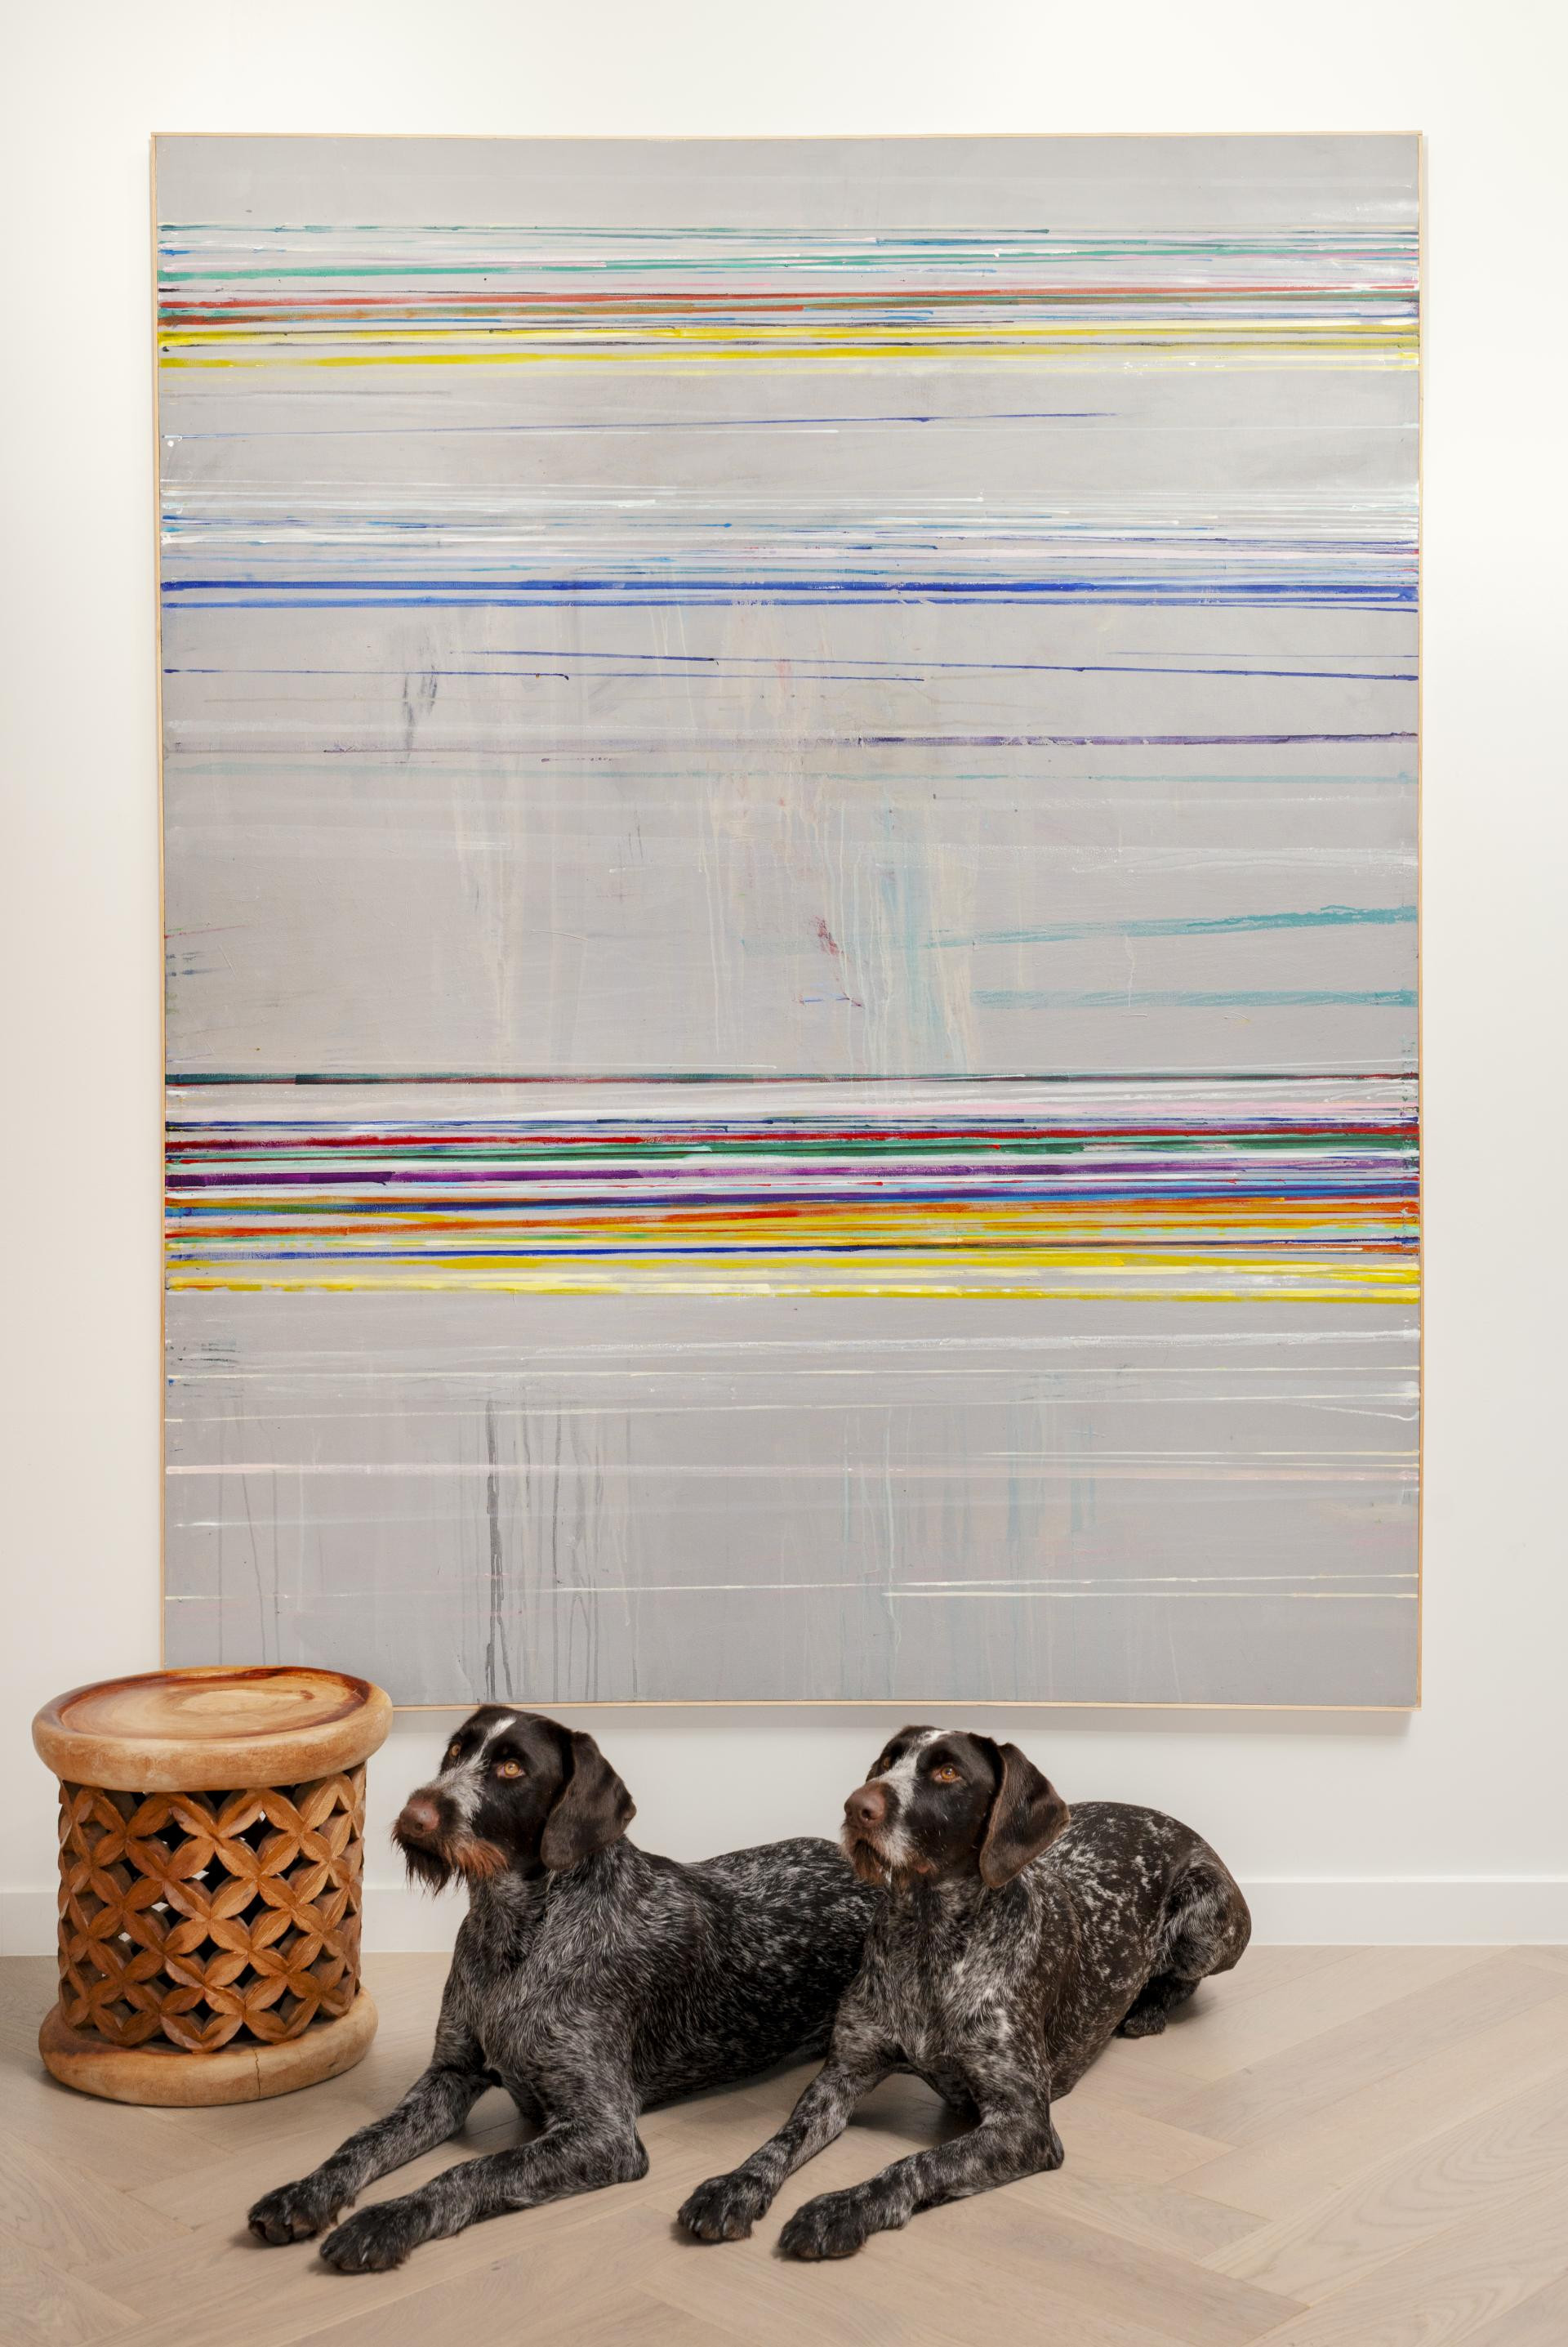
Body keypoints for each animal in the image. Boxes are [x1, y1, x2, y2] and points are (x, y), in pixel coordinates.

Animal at [248, 1706, 877, 2271]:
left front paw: (388, 2219)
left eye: (511, 1768)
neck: (514, 1934)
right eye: (455, 1752)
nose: (414, 1813)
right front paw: (307, 2191)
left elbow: (472, 2169)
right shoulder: (448, 2076)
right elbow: (365, 2138)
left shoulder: (602, 2132)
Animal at [679, 1724, 1250, 2260]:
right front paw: (735, 2186)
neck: (927, 1940)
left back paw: (1148, 2009)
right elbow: (781, 2140)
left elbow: (916, 2164)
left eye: (948, 1773)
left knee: (1183, 1977)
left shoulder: (1022, 2124)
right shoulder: (841, 2075)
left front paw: (840, 2209)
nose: (856, 1806)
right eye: (887, 1761)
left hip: (1207, 1917)